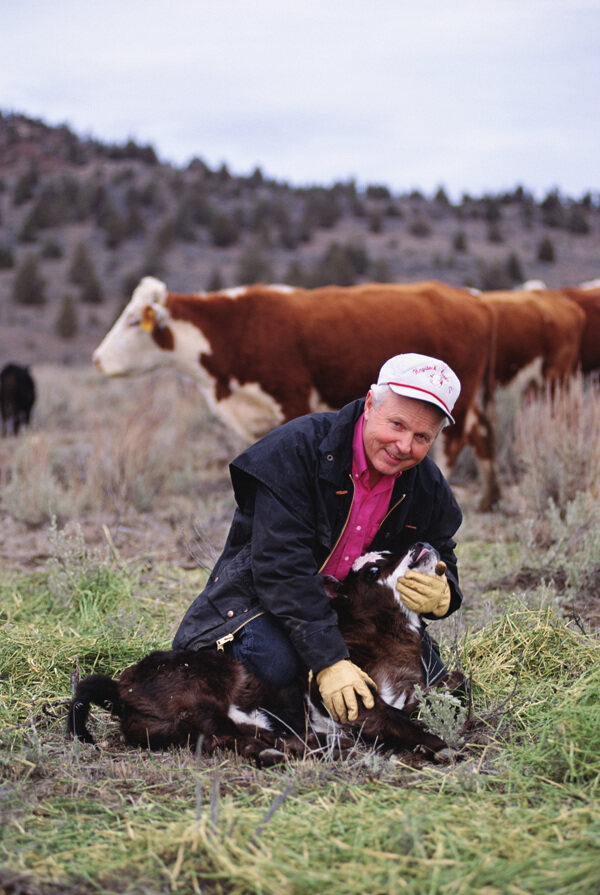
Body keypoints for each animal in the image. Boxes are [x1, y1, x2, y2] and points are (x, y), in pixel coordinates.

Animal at [92, 276, 496, 496]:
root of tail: (471, 297)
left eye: (133, 321)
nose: (97, 359)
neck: (238, 328)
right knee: (483, 435)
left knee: (452, 448)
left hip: (457, 405)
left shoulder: (293, 398)